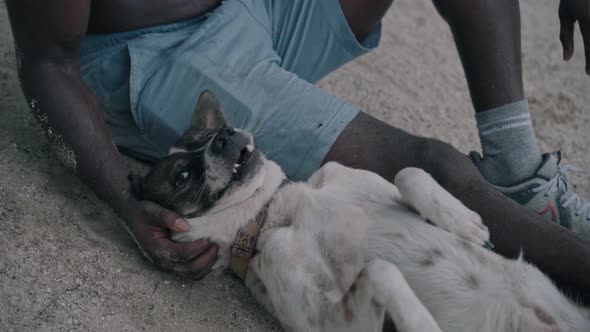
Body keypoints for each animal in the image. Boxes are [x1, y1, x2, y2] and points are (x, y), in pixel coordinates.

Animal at [134, 89, 590, 330]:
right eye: (181, 177)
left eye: (206, 135)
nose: (226, 136)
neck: (276, 210)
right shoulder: (331, 319)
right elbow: (380, 270)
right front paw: (423, 324)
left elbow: (409, 172)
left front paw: (465, 223)